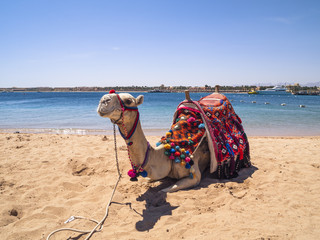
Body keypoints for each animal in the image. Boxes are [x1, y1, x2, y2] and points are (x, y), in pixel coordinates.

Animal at [97, 91, 250, 192]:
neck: (168, 153)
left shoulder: (194, 175)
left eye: (128, 101)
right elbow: (148, 179)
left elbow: (166, 189)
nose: (104, 100)